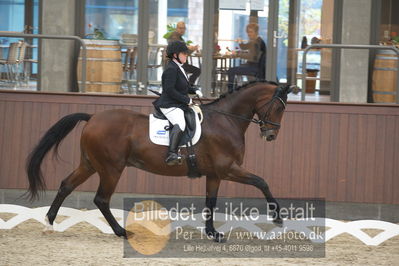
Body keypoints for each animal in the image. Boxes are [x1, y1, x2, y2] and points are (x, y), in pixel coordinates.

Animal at [26, 81, 292, 241]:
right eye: (279, 108)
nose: (271, 135)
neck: (226, 120)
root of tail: (92, 118)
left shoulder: (215, 174)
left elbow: (211, 202)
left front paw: (212, 233)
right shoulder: (228, 169)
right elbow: (262, 182)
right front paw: (278, 218)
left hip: (90, 164)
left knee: (66, 185)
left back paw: (49, 223)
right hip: (111, 168)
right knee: (101, 199)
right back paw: (122, 232)